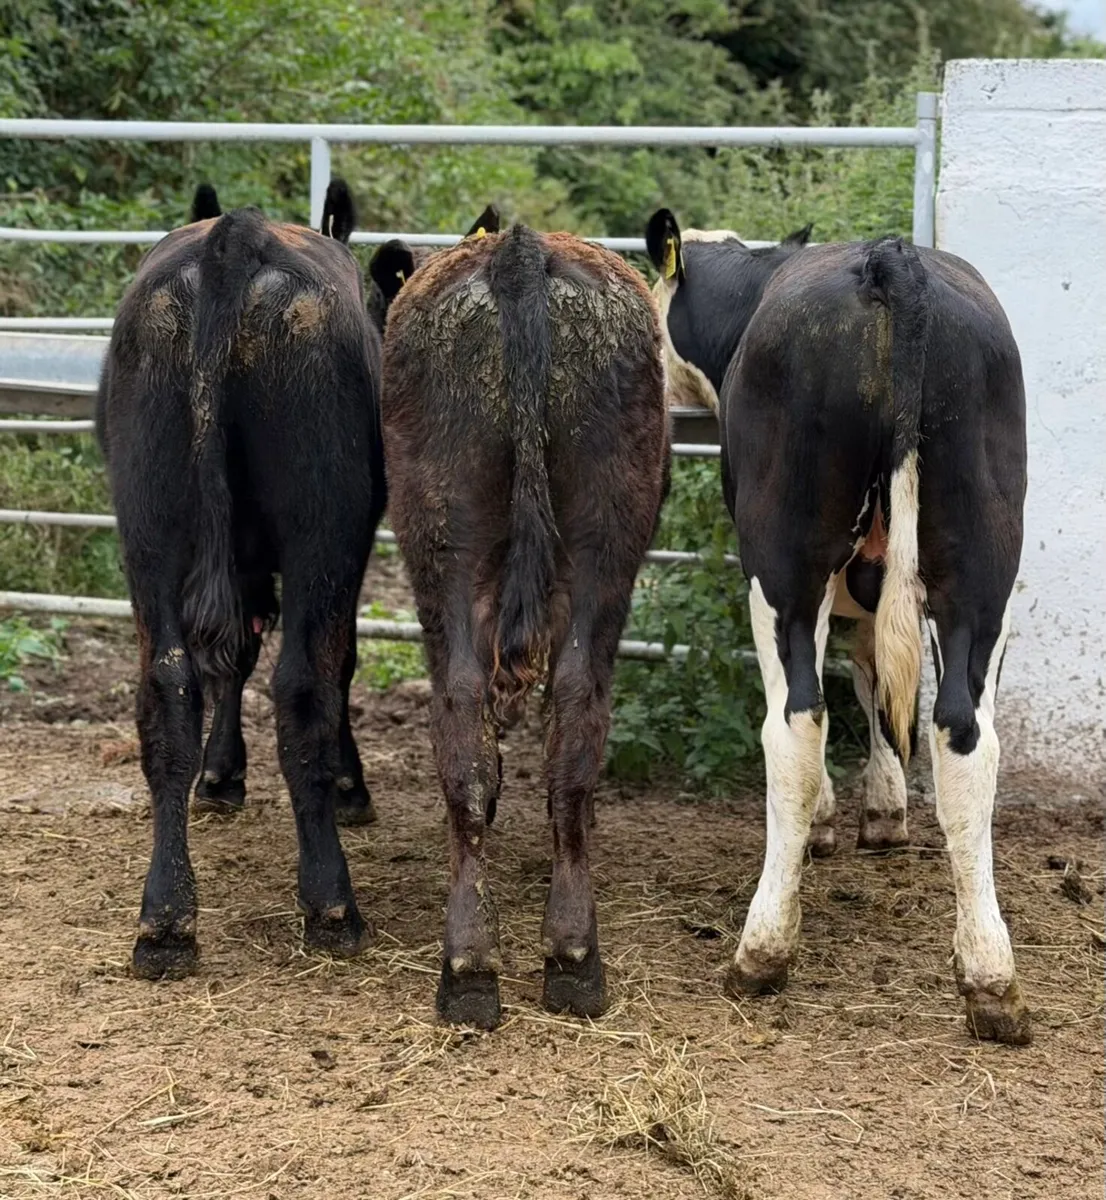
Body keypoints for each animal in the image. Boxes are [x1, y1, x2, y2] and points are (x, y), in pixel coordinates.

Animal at [97, 179, 386, 980]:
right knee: (304, 681)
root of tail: (235, 238)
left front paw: (220, 775)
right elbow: (328, 660)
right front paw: (346, 785)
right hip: (325, 519)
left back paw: (165, 920)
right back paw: (332, 904)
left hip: (149, 520)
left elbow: (231, 659)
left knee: (168, 684)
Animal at [369, 224, 670, 1029]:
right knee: (566, 720)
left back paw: (478, 964)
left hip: (453, 549)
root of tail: (520, 250)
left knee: (474, 719)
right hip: (600, 545)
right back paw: (561, 957)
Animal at [645, 209, 1030, 1045]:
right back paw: (991, 978)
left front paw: (829, 818)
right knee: (966, 734)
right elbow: (877, 685)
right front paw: (884, 813)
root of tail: (889, 261)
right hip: (985, 568)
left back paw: (762, 950)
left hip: (783, 563)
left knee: (795, 720)